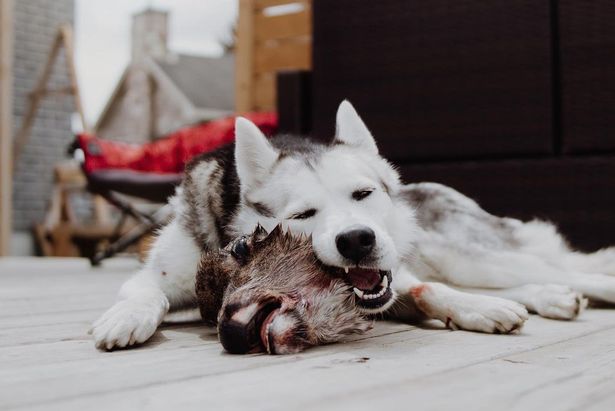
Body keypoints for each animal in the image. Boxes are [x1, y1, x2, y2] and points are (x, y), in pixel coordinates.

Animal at [90, 100, 615, 350]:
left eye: (362, 194)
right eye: (303, 216)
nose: (357, 240)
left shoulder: (400, 275)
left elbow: (428, 289)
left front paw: (476, 311)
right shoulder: (152, 276)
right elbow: (147, 294)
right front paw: (126, 316)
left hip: (466, 256)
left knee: (559, 267)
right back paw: (551, 296)